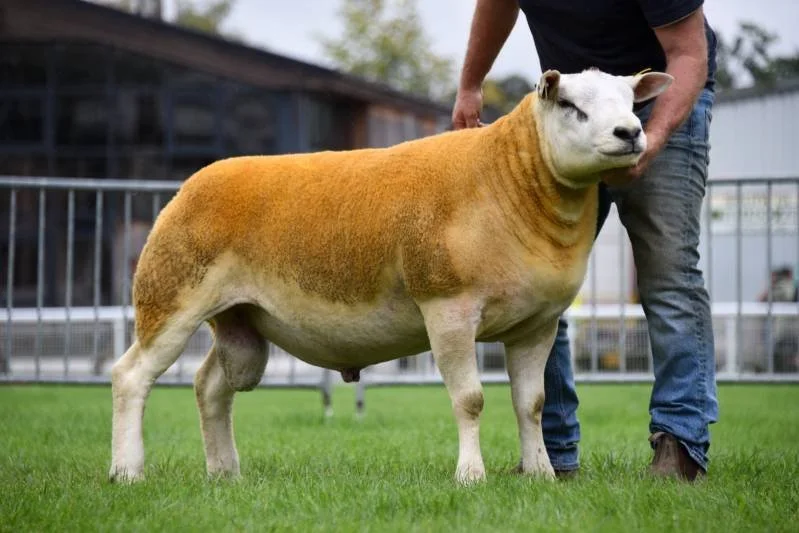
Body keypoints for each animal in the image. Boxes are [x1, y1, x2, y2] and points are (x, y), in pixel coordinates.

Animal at [109, 68, 673, 485]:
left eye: (632, 102)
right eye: (571, 105)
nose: (630, 134)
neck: (507, 183)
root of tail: (191, 184)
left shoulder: (537, 324)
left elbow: (530, 404)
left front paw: (541, 474)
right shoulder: (447, 308)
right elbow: (470, 400)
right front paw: (470, 476)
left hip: (240, 323)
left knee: (209, 387)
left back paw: (225, 473)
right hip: (170, 299)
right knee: (130, 377)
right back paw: (127, 472)